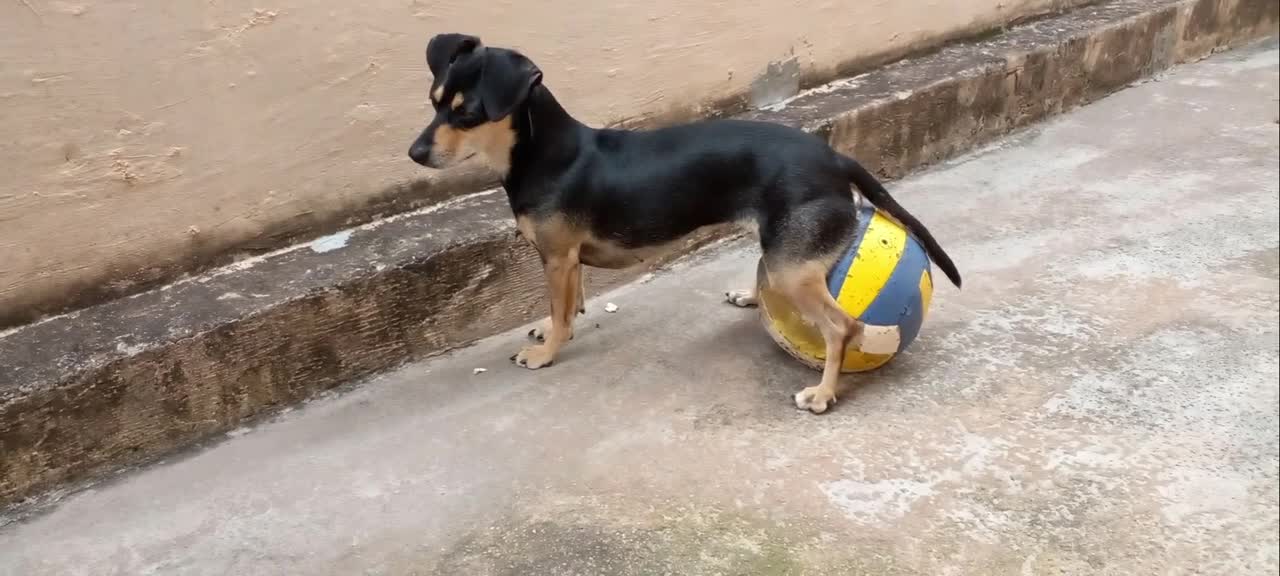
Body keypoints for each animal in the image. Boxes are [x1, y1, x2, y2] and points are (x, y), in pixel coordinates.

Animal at [409, 32, 962, 414]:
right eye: (434, 102)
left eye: (467, 114)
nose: (414, 153)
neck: (544, 152)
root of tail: (834, 156)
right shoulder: (566, 261)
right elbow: (568, 304)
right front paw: (549, 328)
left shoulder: (558, 258)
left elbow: (565, 314)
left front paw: (547, 352)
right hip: (782, 252)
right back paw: (752, 298)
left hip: (791, 267)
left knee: (842, 327)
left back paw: (823, 393)